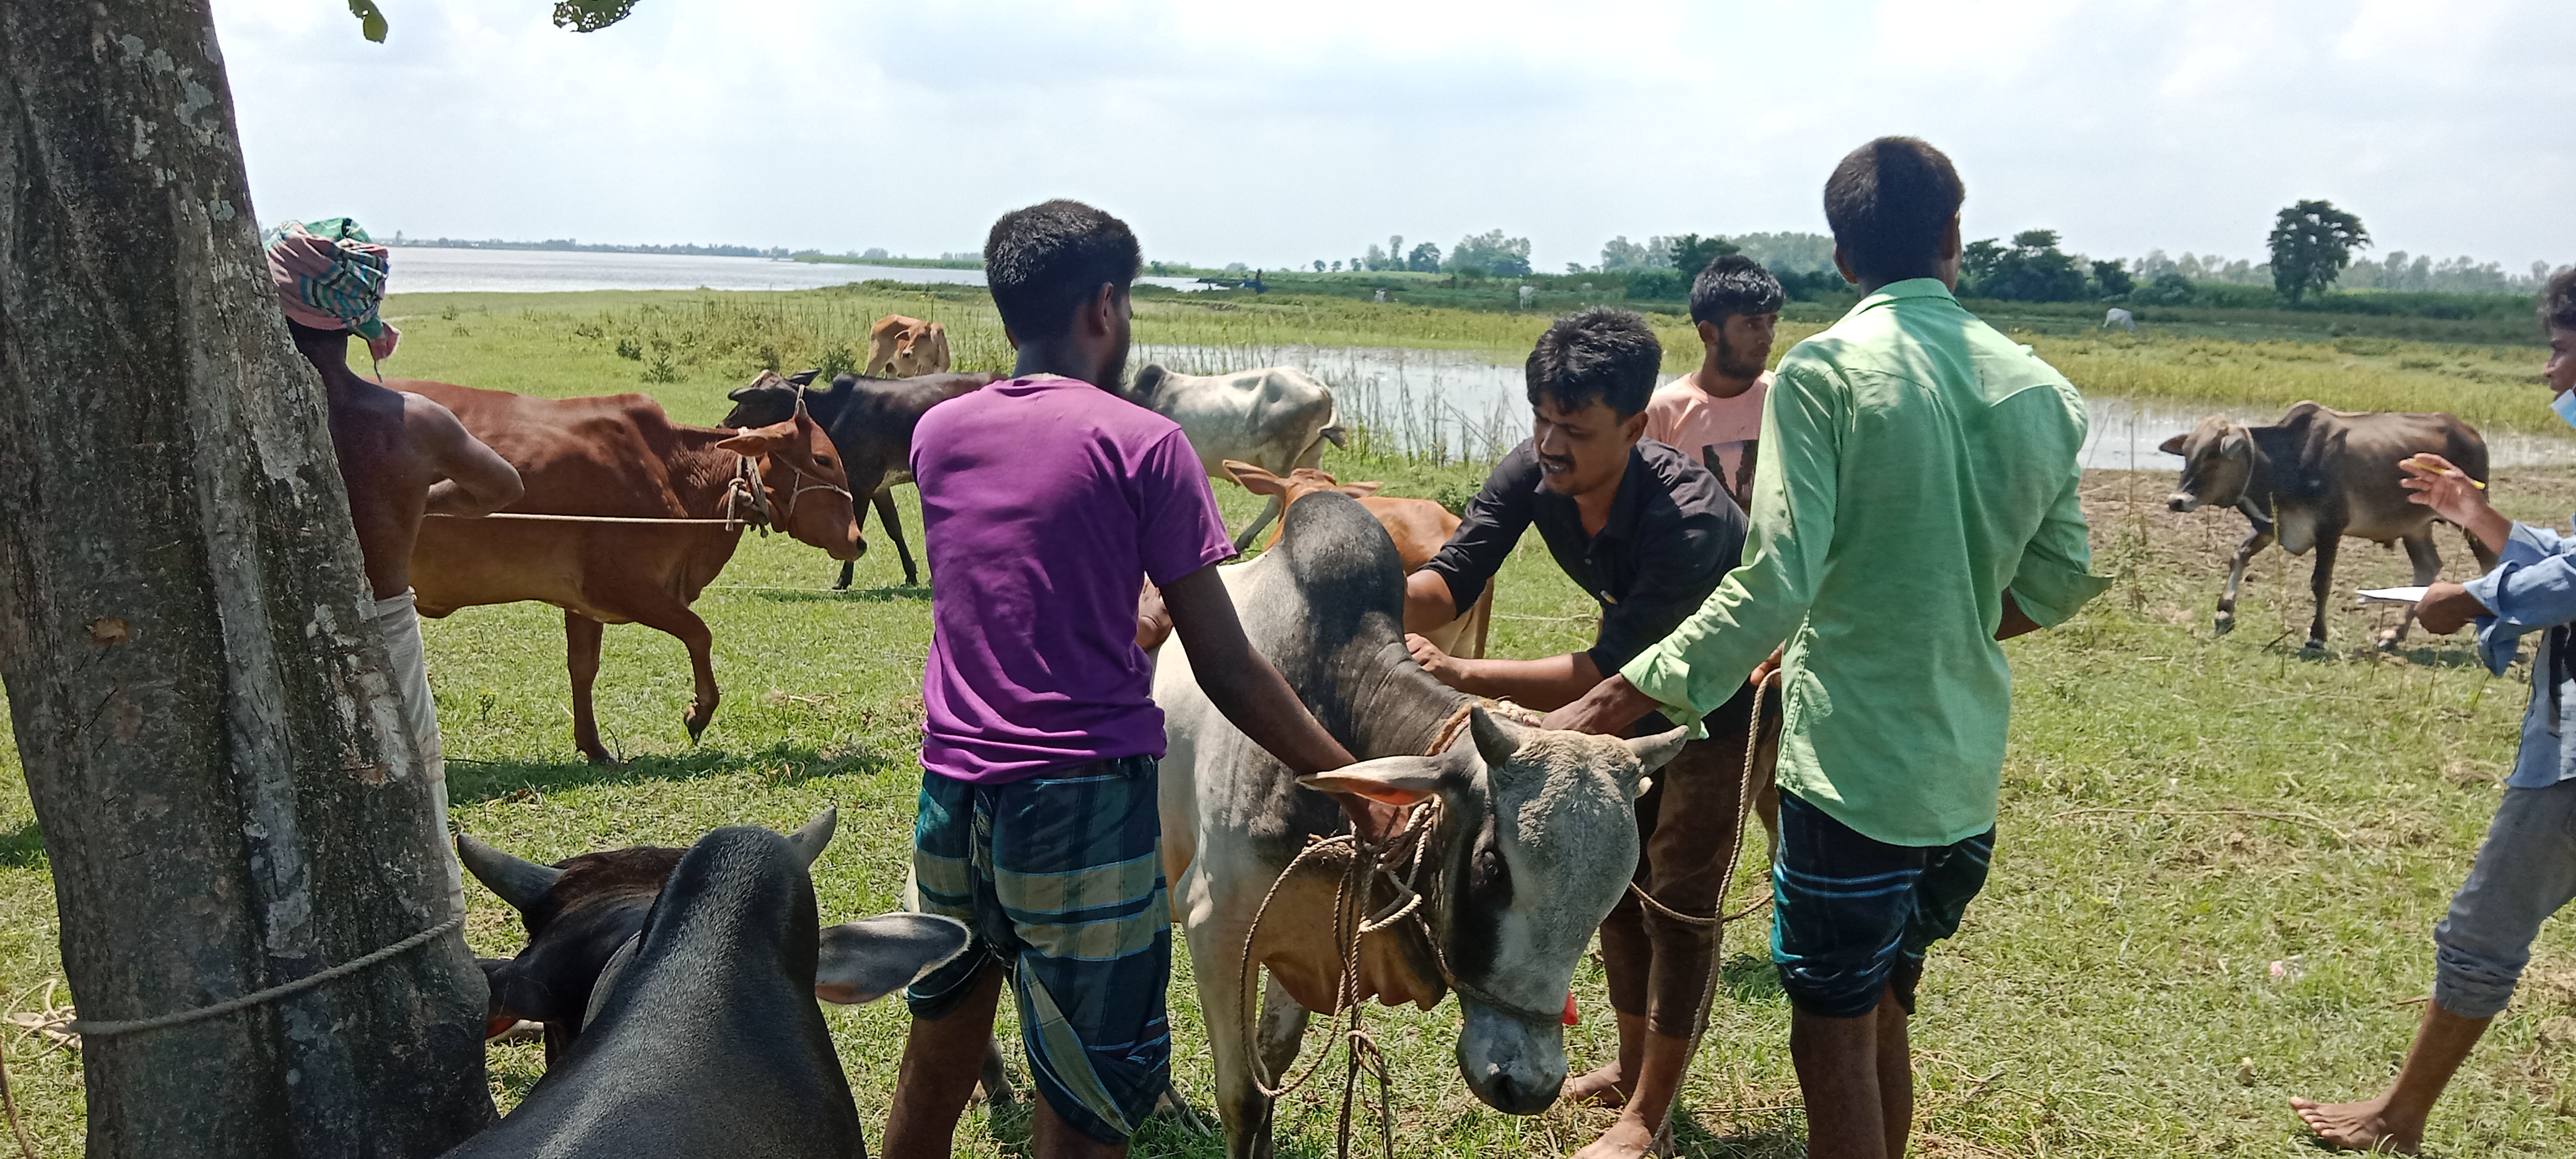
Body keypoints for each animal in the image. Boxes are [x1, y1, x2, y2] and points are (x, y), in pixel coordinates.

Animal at [407, 383, 861, 761]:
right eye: (822, 459)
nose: (859, 541)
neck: (671, 469)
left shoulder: (583, 604)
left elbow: (583, 668)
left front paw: (594, 747)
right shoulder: (623, 587)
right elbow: (699, 633)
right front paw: (699, 712)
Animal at [723, 368, 996, 589]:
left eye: (750, 402)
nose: (724, 424)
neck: (830, 412)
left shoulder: (861, 486)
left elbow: (857, 527)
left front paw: (843, 580)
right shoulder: (878, 488)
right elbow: (894, 528)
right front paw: (911, 574)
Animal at [1152, 493, 1686, 1157]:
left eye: (1613, 893)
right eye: (1492, 868)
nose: (1529, 1085)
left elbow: (1274, 1060)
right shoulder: (1216, 928)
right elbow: (1244, 1098)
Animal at [2159, 401, 2500, 650]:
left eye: (2212, 456)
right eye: (2187, 454)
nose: (2177, 501)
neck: (2286, 461)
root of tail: (2471, 433)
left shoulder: (2330, 528)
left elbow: (2320, 582)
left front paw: (2316, 636)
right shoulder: (2273, 524)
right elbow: (2238, 555)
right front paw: (2224, 614)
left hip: (2467, 517)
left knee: (2489, 561)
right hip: (2415, 527)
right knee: (2427, 567)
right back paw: (2392, 637)